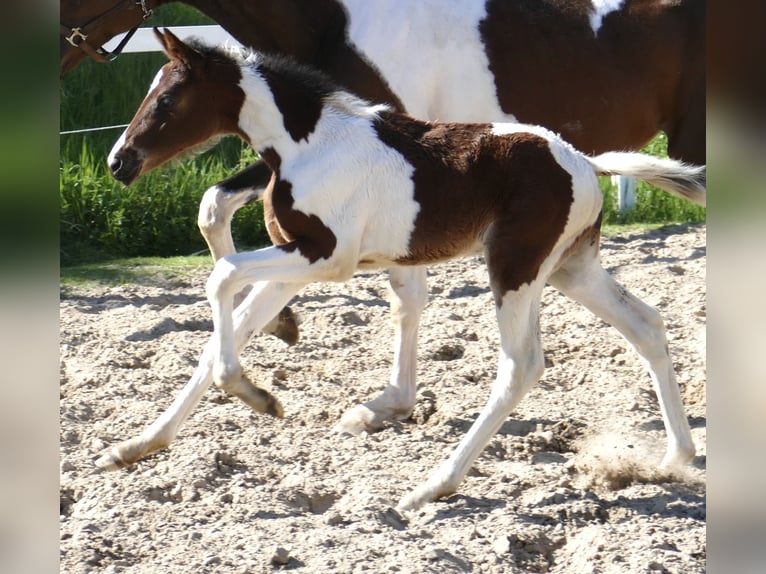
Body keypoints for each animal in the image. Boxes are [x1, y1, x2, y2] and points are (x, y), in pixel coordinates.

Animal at [61, 0, 708, 446]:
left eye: (167, 101)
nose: (119, 162)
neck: (311, 142)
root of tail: (582, 159)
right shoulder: (297, 254)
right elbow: (233, 291)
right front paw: (138, 445)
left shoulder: (327, 255)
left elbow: (225, 278)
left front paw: (262, 393)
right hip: (568, 266)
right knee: (646, 323)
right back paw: (676, 457)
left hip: (523, 262)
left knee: (526, 363)